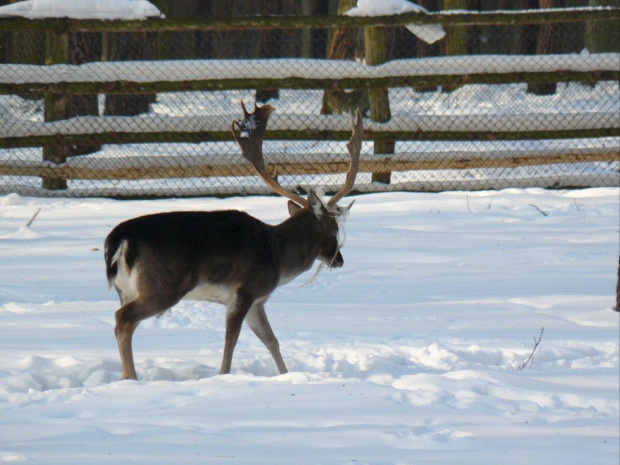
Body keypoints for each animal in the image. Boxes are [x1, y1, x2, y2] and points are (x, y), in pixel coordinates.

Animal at [103, 102, 360, 380]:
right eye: (334, 227)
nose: (339, 260)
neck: (279, 256)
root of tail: (119, 240)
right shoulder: (245, 289)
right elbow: (231, 338)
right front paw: (224, 376)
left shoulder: (258, 300)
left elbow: (271, 340)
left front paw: (284, 375)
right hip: (162, 285)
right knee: (123, 319)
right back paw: (130, 378)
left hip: (125, 289)